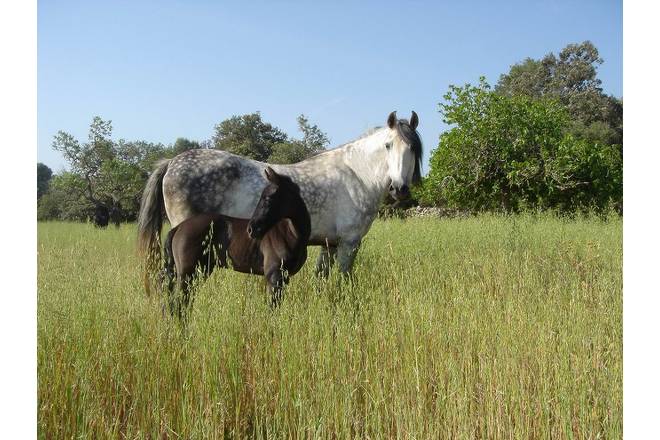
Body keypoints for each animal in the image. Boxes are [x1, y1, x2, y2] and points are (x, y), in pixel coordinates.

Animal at [162, 166, 312, 316]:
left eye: (268, 198)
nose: (251, 229)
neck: (289, 234)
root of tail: (179, 228)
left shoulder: (284, 278)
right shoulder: (274, 276)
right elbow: (272, 308)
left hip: (201, 271)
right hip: (187, 273)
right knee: (179, 303)